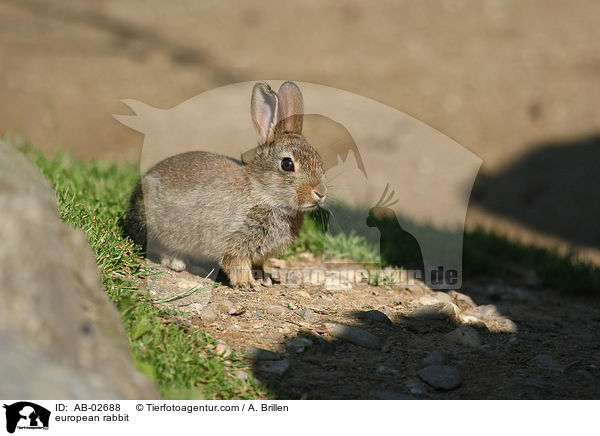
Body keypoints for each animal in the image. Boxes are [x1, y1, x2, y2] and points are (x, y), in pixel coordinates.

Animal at [123, 81, 328, 290]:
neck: (264, 193)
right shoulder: (234, 242)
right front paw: (247, 283)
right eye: (287, 164)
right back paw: (176, 261)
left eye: (318, 159)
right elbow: (236, 263)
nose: (320, 193)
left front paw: (263, 278)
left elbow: (258, 263)